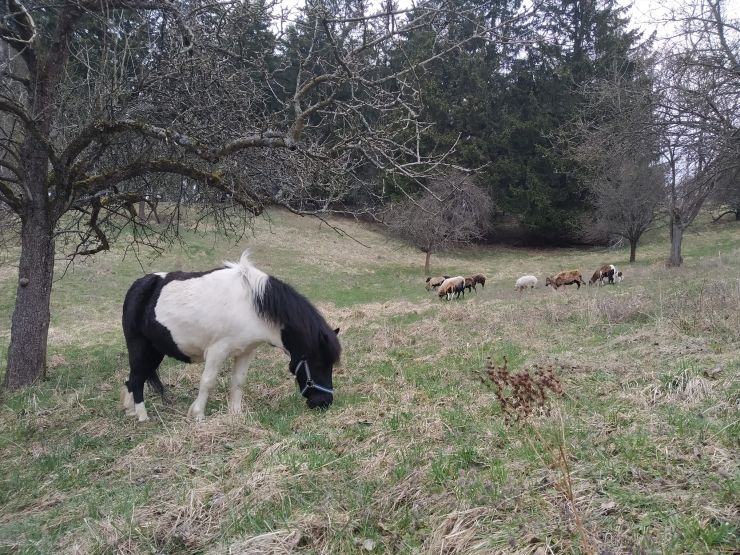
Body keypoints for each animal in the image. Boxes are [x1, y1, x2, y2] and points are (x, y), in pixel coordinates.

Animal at [121, 252, 342, 422]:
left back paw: (130, 410)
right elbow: (208, 381)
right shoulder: (217, 351)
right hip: (140, 346)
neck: (251, 307)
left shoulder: (246, 352)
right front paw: (198, 415)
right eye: (319, 363)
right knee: (137, 379)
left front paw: (235, 414)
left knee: (133, 378)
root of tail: (139, 285)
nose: (324, 403)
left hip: (154, 351)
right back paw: (142, 416)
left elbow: (238, 382)